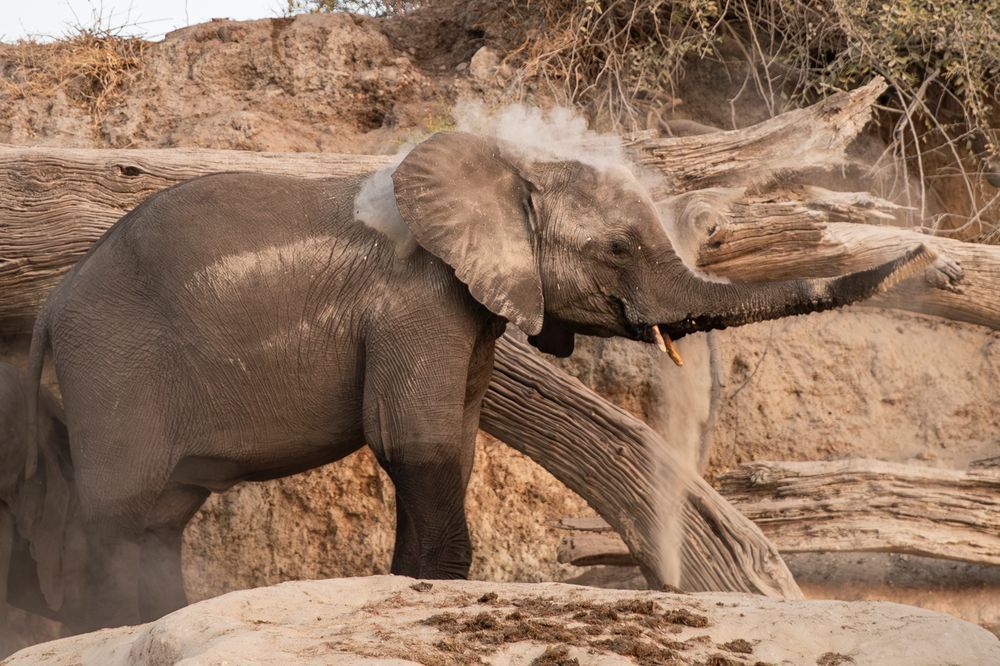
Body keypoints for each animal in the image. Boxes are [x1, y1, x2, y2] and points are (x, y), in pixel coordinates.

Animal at [21, 130, 931, 629]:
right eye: (618, 248)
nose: (923, 247)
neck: (509, 171)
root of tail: (53, 303)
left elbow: (452, 444)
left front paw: (417, 584)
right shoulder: (415, 302)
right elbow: (416, 441)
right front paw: (437, 586)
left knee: (161, 519)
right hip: (115, 371)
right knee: (121, 514)